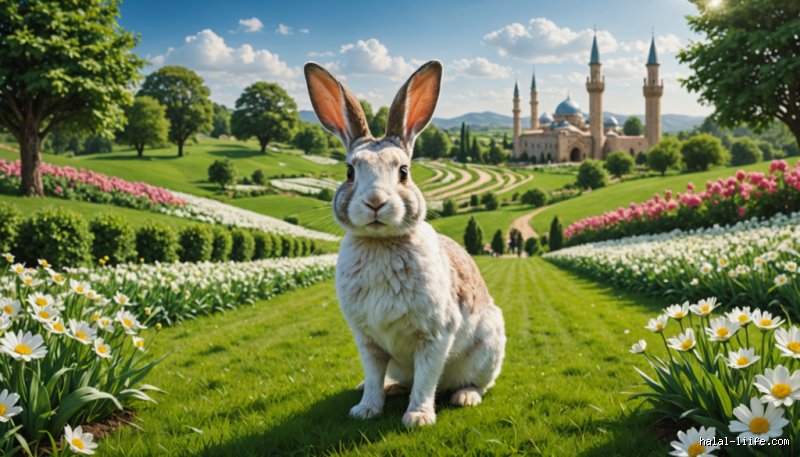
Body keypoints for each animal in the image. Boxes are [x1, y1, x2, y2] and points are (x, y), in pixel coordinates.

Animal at [304, 60, 506, 427]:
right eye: (350, 171)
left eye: (404, 171)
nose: (375, 202)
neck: (381, 243)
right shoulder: (368, 341)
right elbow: (373, 375)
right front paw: (365, 409)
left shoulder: (435, 336)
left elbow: (426, 378)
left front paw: (418, 418)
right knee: (397, 379)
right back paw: (391, 388)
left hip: (488, 350)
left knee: (479, 383)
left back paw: (465, 396)